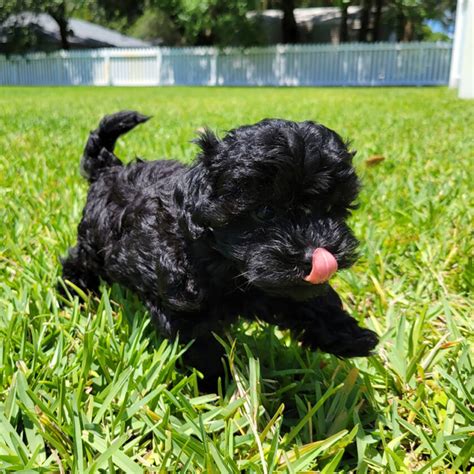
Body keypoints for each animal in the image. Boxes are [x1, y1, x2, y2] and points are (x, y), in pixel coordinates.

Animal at [62, 110, 378, 378]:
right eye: (265, 212)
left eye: (332, 209)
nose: (318, 254)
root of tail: (109, 169)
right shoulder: (184, 309)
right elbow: (204, 350)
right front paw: (218, 389)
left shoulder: (274, 285)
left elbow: (308, 301)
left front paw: (349, 335)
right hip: (93, 244)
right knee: (78, 262)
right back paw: (72, 292)